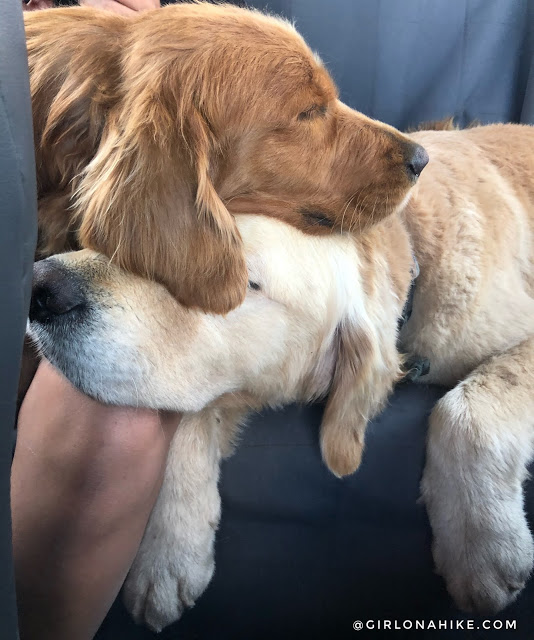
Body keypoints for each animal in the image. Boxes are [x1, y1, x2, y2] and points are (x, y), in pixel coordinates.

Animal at [29, 120, 534, 632]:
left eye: (237, 279)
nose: (44, 287)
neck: (410, 249)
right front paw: (167, 554)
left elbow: (468, 409)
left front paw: (481, 549)